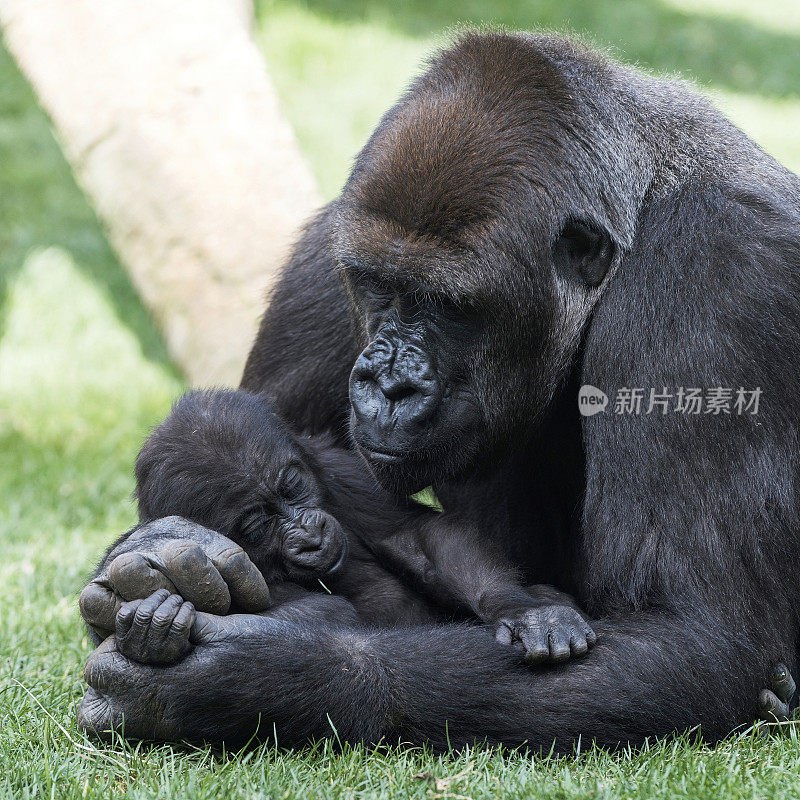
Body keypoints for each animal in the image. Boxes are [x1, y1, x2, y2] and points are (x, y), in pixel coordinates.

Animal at [133, 392, 592, 664]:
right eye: (258, 524)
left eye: (292, 486)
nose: (309, 535)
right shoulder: (225, 558)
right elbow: (323, 613)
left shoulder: (338, 468)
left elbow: (416, 536)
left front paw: (523, 610)